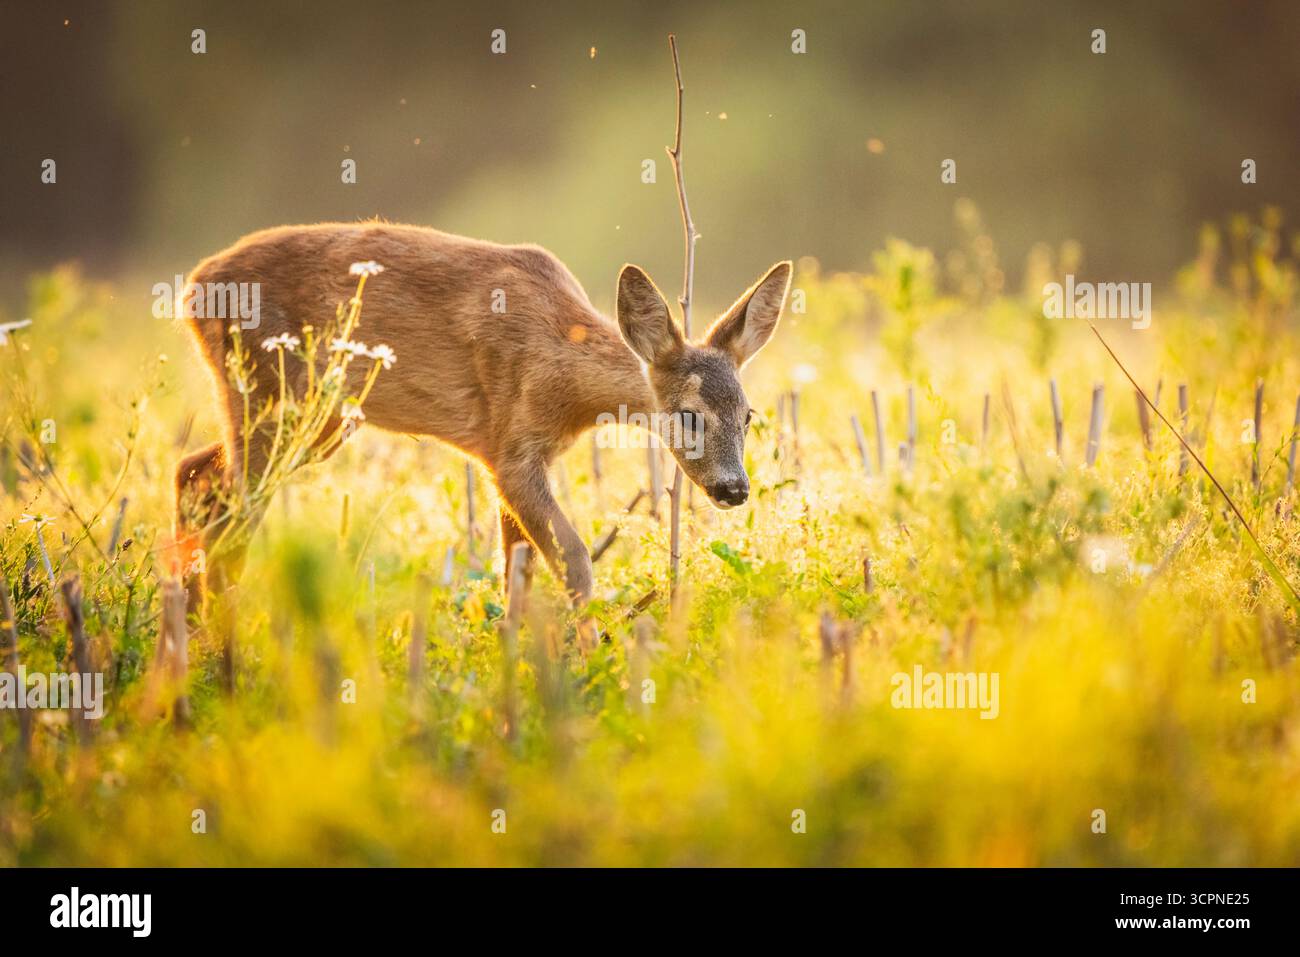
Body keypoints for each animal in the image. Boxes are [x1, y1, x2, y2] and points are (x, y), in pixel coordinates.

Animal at [175, 222, 791, 617]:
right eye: (688, 416)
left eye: (748, 415)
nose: (734, 488)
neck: (564, 371)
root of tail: (194, 288)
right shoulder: (511, 449)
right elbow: (573, 560)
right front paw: (587, 662)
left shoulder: (514, 459)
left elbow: (514, 573)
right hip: (272, 398)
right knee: (228, 520)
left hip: (315, 421)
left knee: (194, 474)